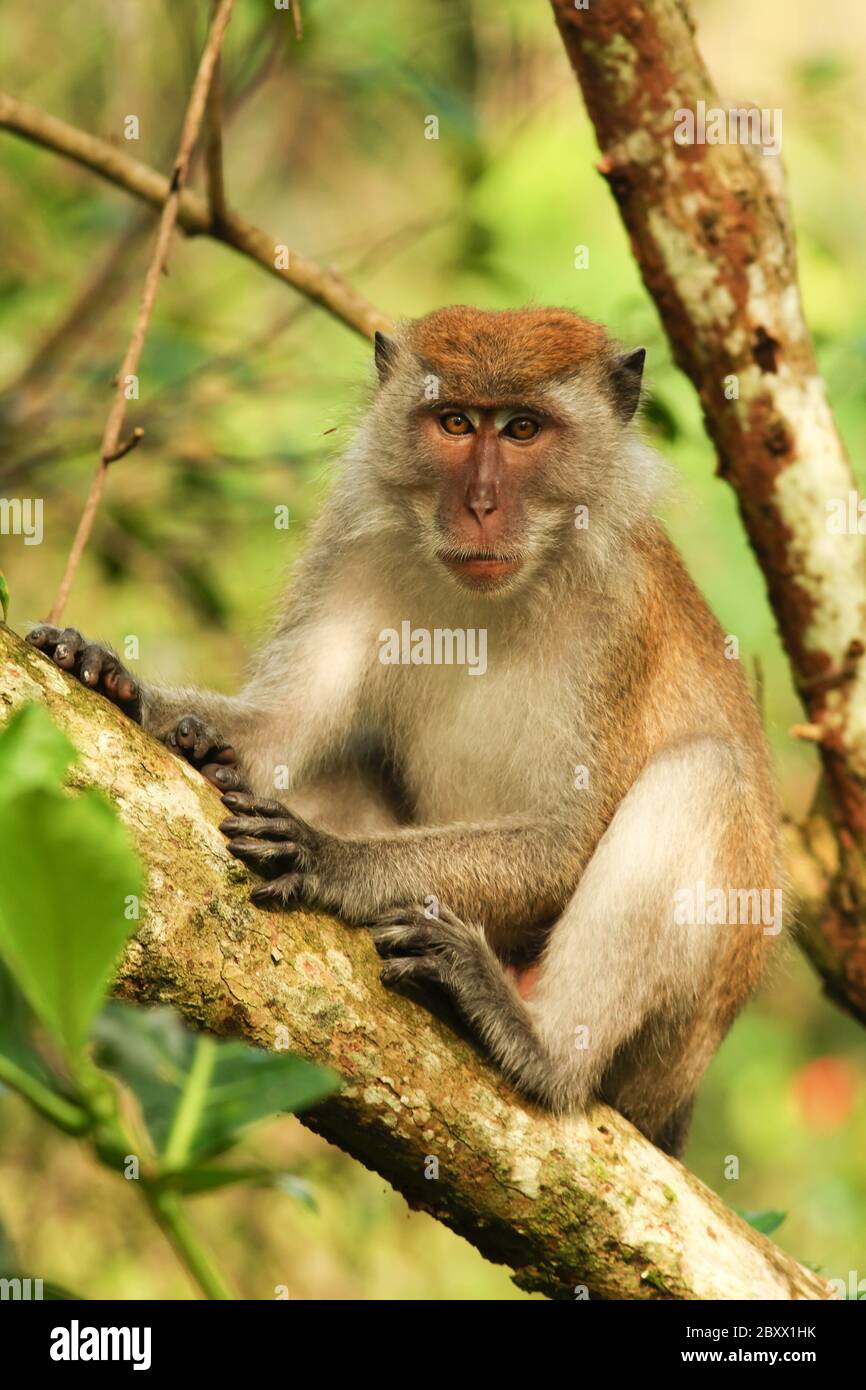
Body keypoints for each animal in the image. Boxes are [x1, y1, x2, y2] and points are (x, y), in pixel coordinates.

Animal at [27, 305, 782, 1157]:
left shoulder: (621, 620)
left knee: (705, 774)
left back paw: (541, 1045)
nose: (480, 504)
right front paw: (117, 683)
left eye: (522, 429)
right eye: (454, 422)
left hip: (668, 1051)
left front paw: (333, 860)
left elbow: (564, 843)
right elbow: (283, 731)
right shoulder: (353, 544)